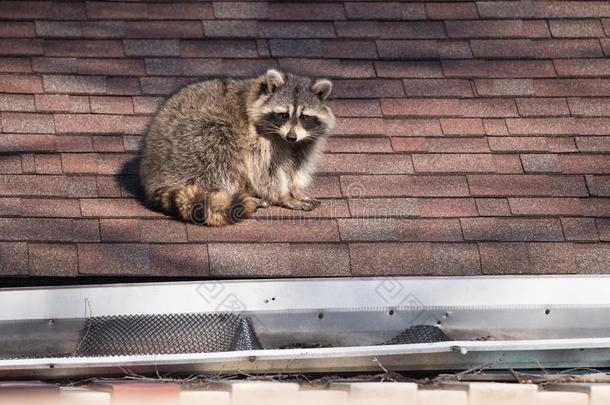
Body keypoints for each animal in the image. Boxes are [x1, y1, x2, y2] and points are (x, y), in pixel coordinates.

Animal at [139, 70, 332, 226]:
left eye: (304, 117)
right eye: (283, 115)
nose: (291, 136)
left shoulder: (303, 142)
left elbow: (295, 164)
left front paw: (295, 189)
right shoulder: (257, 139)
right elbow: (265, 172)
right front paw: (283, 196)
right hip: (189, 141)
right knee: (220, 152)